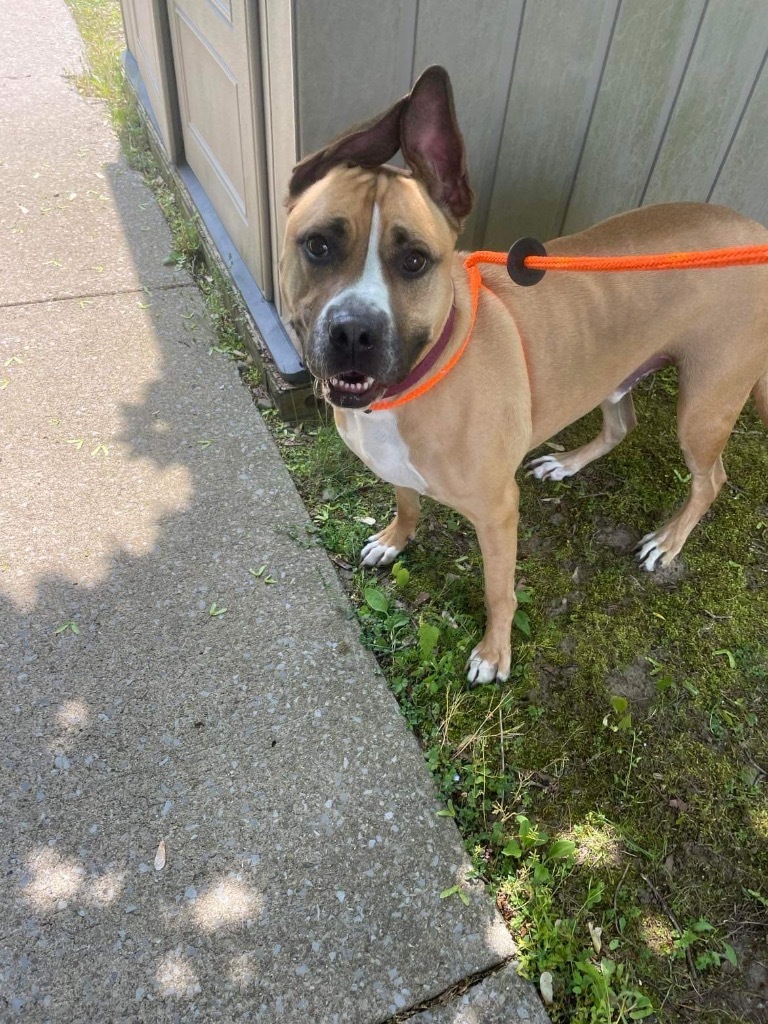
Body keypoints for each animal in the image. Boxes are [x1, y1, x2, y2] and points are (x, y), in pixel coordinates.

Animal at [280, 68, 768, 684]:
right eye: (318, 245)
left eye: (414, 260)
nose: (353, 333)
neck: (415, 384)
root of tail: (755, 229)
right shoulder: (397, 468)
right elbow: (407, 501)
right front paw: (394, 540)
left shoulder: (497, 512)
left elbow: (499, 591)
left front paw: (494, 653)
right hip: (613, 374)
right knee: (621, 426)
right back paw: (567, 463)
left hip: (704, 405)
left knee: (711, 480)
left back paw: (668, 541)